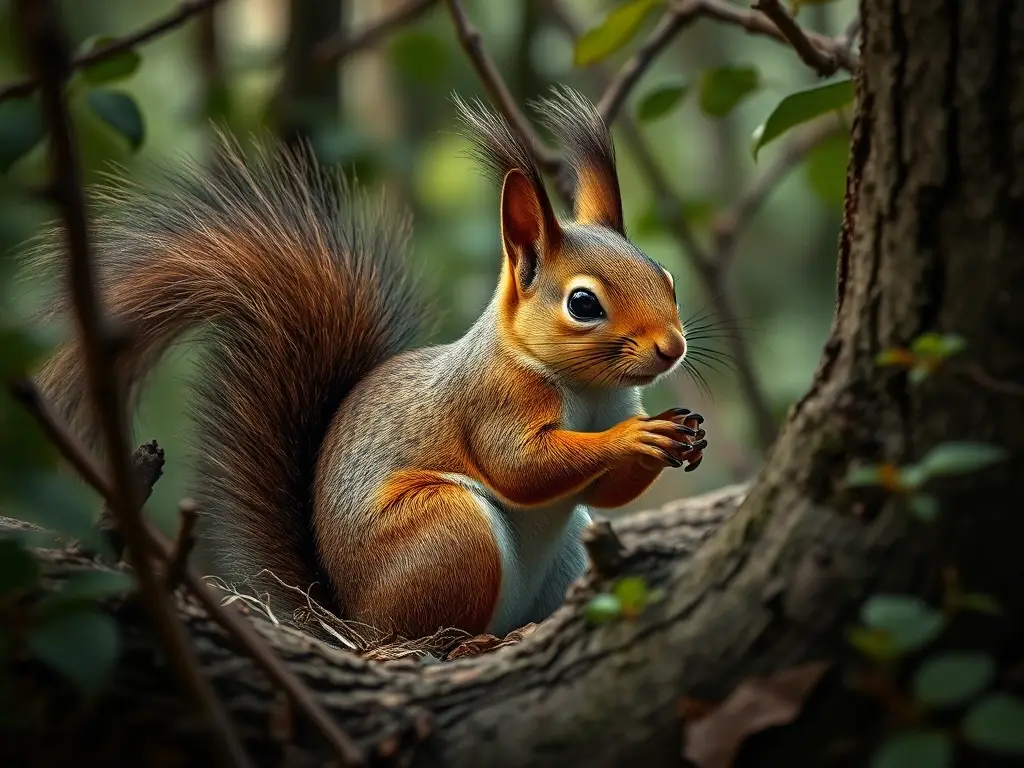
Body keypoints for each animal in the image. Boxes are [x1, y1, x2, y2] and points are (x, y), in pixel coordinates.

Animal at [28, 86, 708, 640]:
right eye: (583, 303)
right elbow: (520, 466)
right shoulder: (492, 399)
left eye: (668, 278)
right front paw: (634, 437)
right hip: (446, 534)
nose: (672, 347)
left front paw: (676, 437)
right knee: (424, 638)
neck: (587, 389)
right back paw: (471, 643)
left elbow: (607, 493)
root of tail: (349, 620)